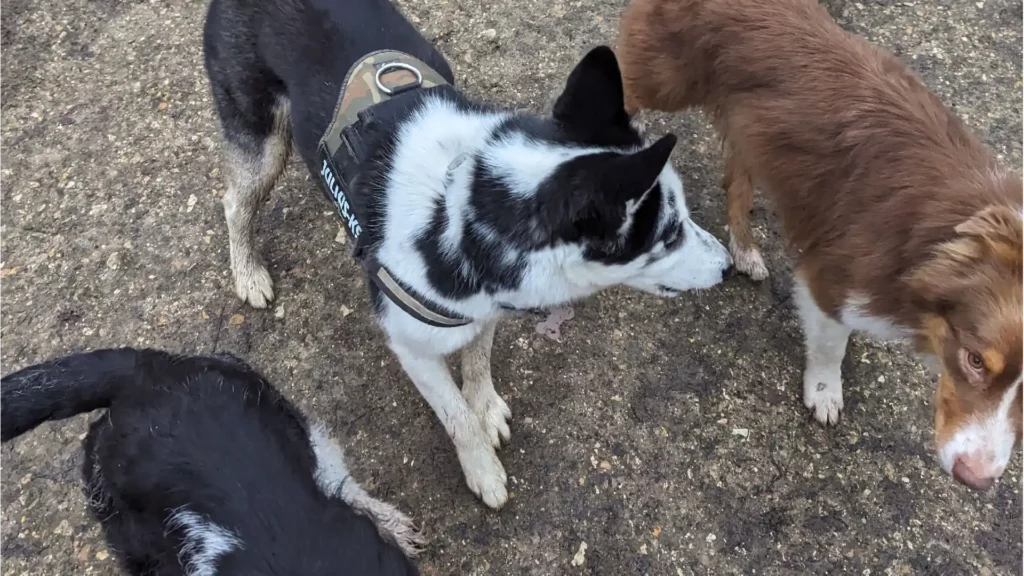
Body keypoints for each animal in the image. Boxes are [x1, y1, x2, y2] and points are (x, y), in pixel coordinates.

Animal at [201, 0, 729, 506]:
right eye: (670, 233)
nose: (726, 265)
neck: (456, 213)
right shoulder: (411, 347)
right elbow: (455, 415)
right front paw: (482, 470)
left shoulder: (482, 307)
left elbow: (478, 359)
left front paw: (486, 406)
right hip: (263, 141)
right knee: (234, 202)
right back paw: (248, 273)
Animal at [614, 0, 1024, 487]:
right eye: (975, 360)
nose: (974, 478)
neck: (937, 236)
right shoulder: (830, 278)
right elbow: (831, 345)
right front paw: (825, 391)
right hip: (667, 79)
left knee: (736, 183)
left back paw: (744, 250)